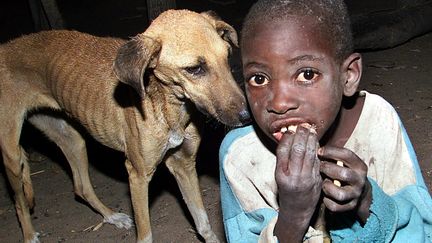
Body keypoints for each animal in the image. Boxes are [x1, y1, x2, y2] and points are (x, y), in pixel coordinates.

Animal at [0, 9, 250, 243]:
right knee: (20, 203)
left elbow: (203, 223)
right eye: (194, 69)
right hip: (12, 156)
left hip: (72, 139)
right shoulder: (137, 175)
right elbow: (146, 234)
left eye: (227, 56)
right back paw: (30, 236)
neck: (166, 106)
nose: (247, 116)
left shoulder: (184, 164)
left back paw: (112, 217)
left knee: (81, 187)